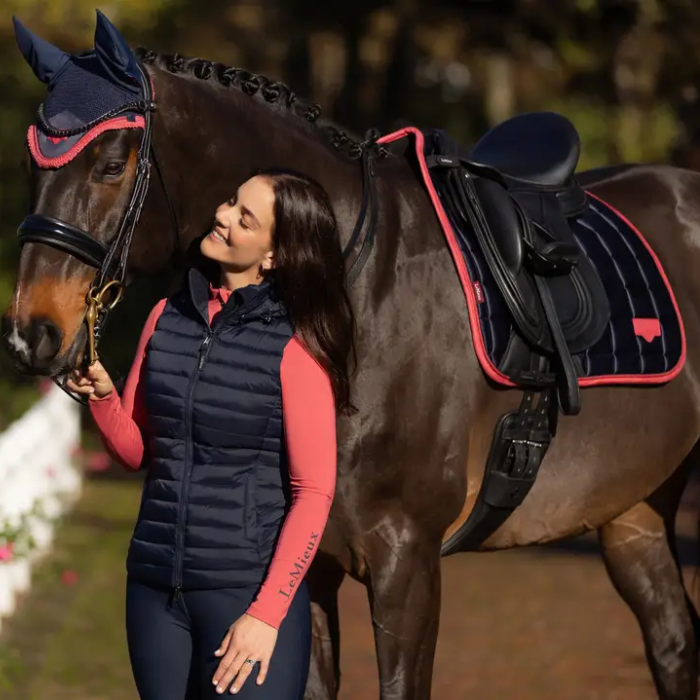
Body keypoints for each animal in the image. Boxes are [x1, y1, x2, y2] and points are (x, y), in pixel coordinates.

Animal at [4, 14, 700, 700]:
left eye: (111, 163)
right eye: (34, 165)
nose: (32, 334)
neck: (351, 303)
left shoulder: (406, 561)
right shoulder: (307, 570)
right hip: (634, 513)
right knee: (673, 644)